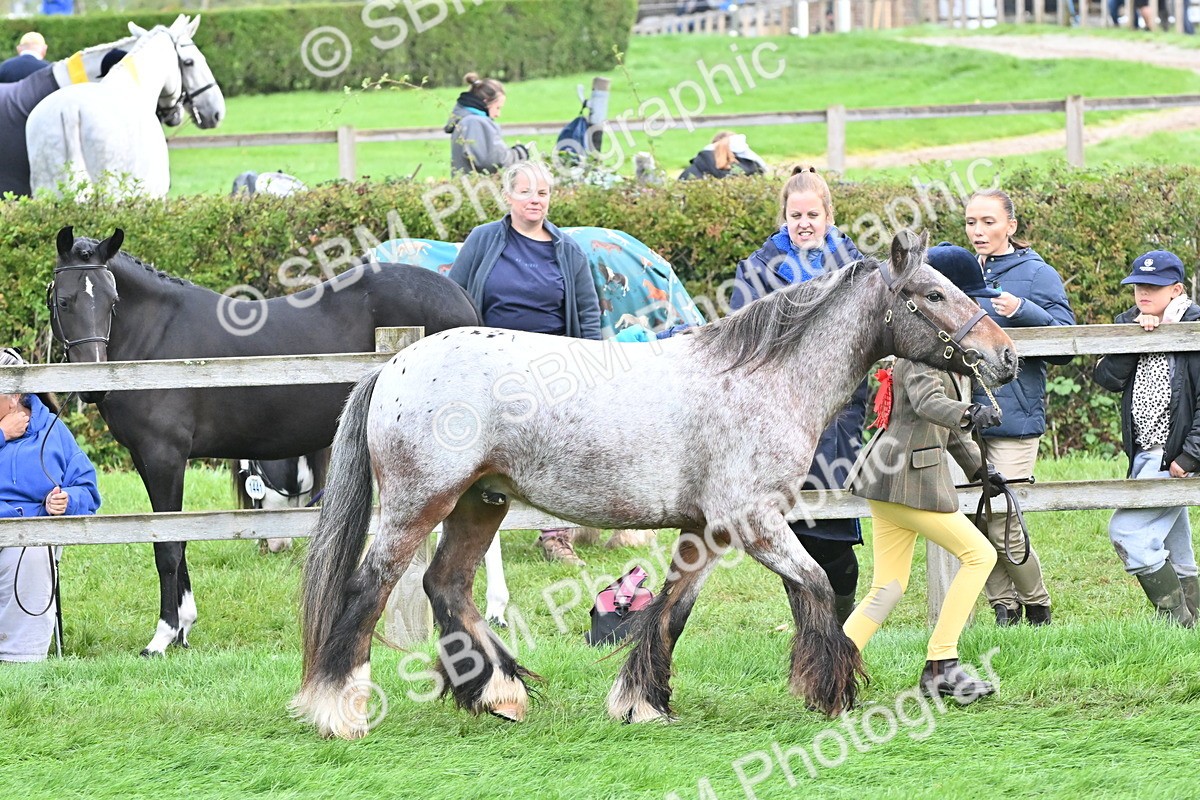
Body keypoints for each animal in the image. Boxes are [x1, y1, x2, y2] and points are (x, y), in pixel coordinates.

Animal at [48, 226, 482, 656]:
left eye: (113, 301)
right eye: (65, 300)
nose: (92, 385)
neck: (156, 341)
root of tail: (460, 299)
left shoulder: (164, 457)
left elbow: (167, 546)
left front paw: (163, 636)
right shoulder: (150, 459)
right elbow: (177, 536)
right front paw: (184, 626)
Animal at [292, 230, 1020, 739]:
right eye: (932, 295)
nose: (1006, 356)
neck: (760, 378)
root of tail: (394, 367)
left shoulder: (707, 533)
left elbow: (671, 610)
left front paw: (641, 703)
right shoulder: (756, 524)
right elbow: (815, 585)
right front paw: (829, 690)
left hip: (479, 503)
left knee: (445, 585)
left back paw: (500, 695)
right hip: (418, 506)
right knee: (368, 591)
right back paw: (340, 712)